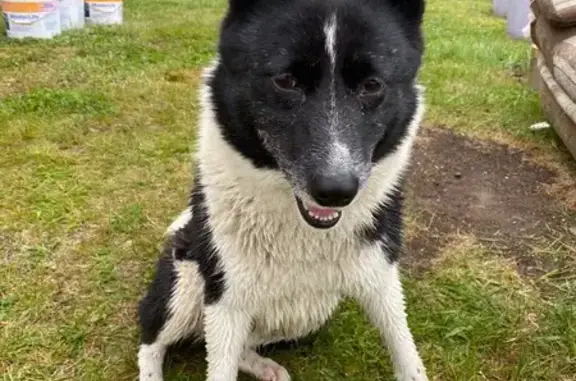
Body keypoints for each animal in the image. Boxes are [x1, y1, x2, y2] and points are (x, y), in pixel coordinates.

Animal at [138, 0, 428, 380]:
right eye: (286, 81)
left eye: (372, 85)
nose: (336, 192)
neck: (302, 231)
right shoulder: (225, 298)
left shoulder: (380, 278)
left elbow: (406, 350)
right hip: (185, 286)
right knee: (151, 338)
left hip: (307, 315)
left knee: (231, 344)